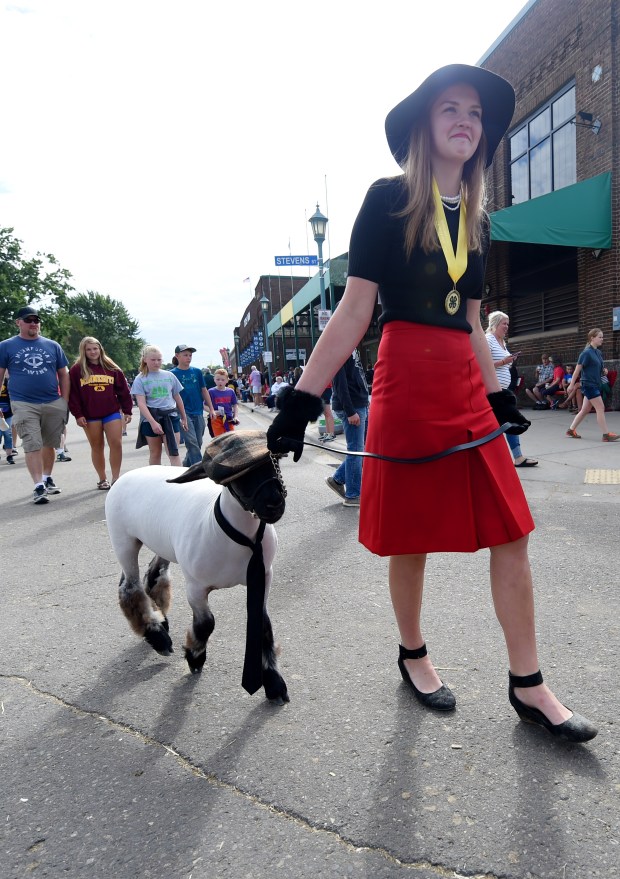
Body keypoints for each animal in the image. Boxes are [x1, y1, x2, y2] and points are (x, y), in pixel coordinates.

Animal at [105, 430, 290, 704]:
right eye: (237, 477)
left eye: (273, 462)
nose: (274, 503)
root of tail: (126, 475)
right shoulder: (195, 586)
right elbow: (206, 624)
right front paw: (194, 657)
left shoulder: (264, 576)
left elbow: (263, 625)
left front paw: (274, 682)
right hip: (123, 539)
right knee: (129, 586)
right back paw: (158, 637)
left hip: (163, 542)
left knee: (152, 575)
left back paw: (160, 622)